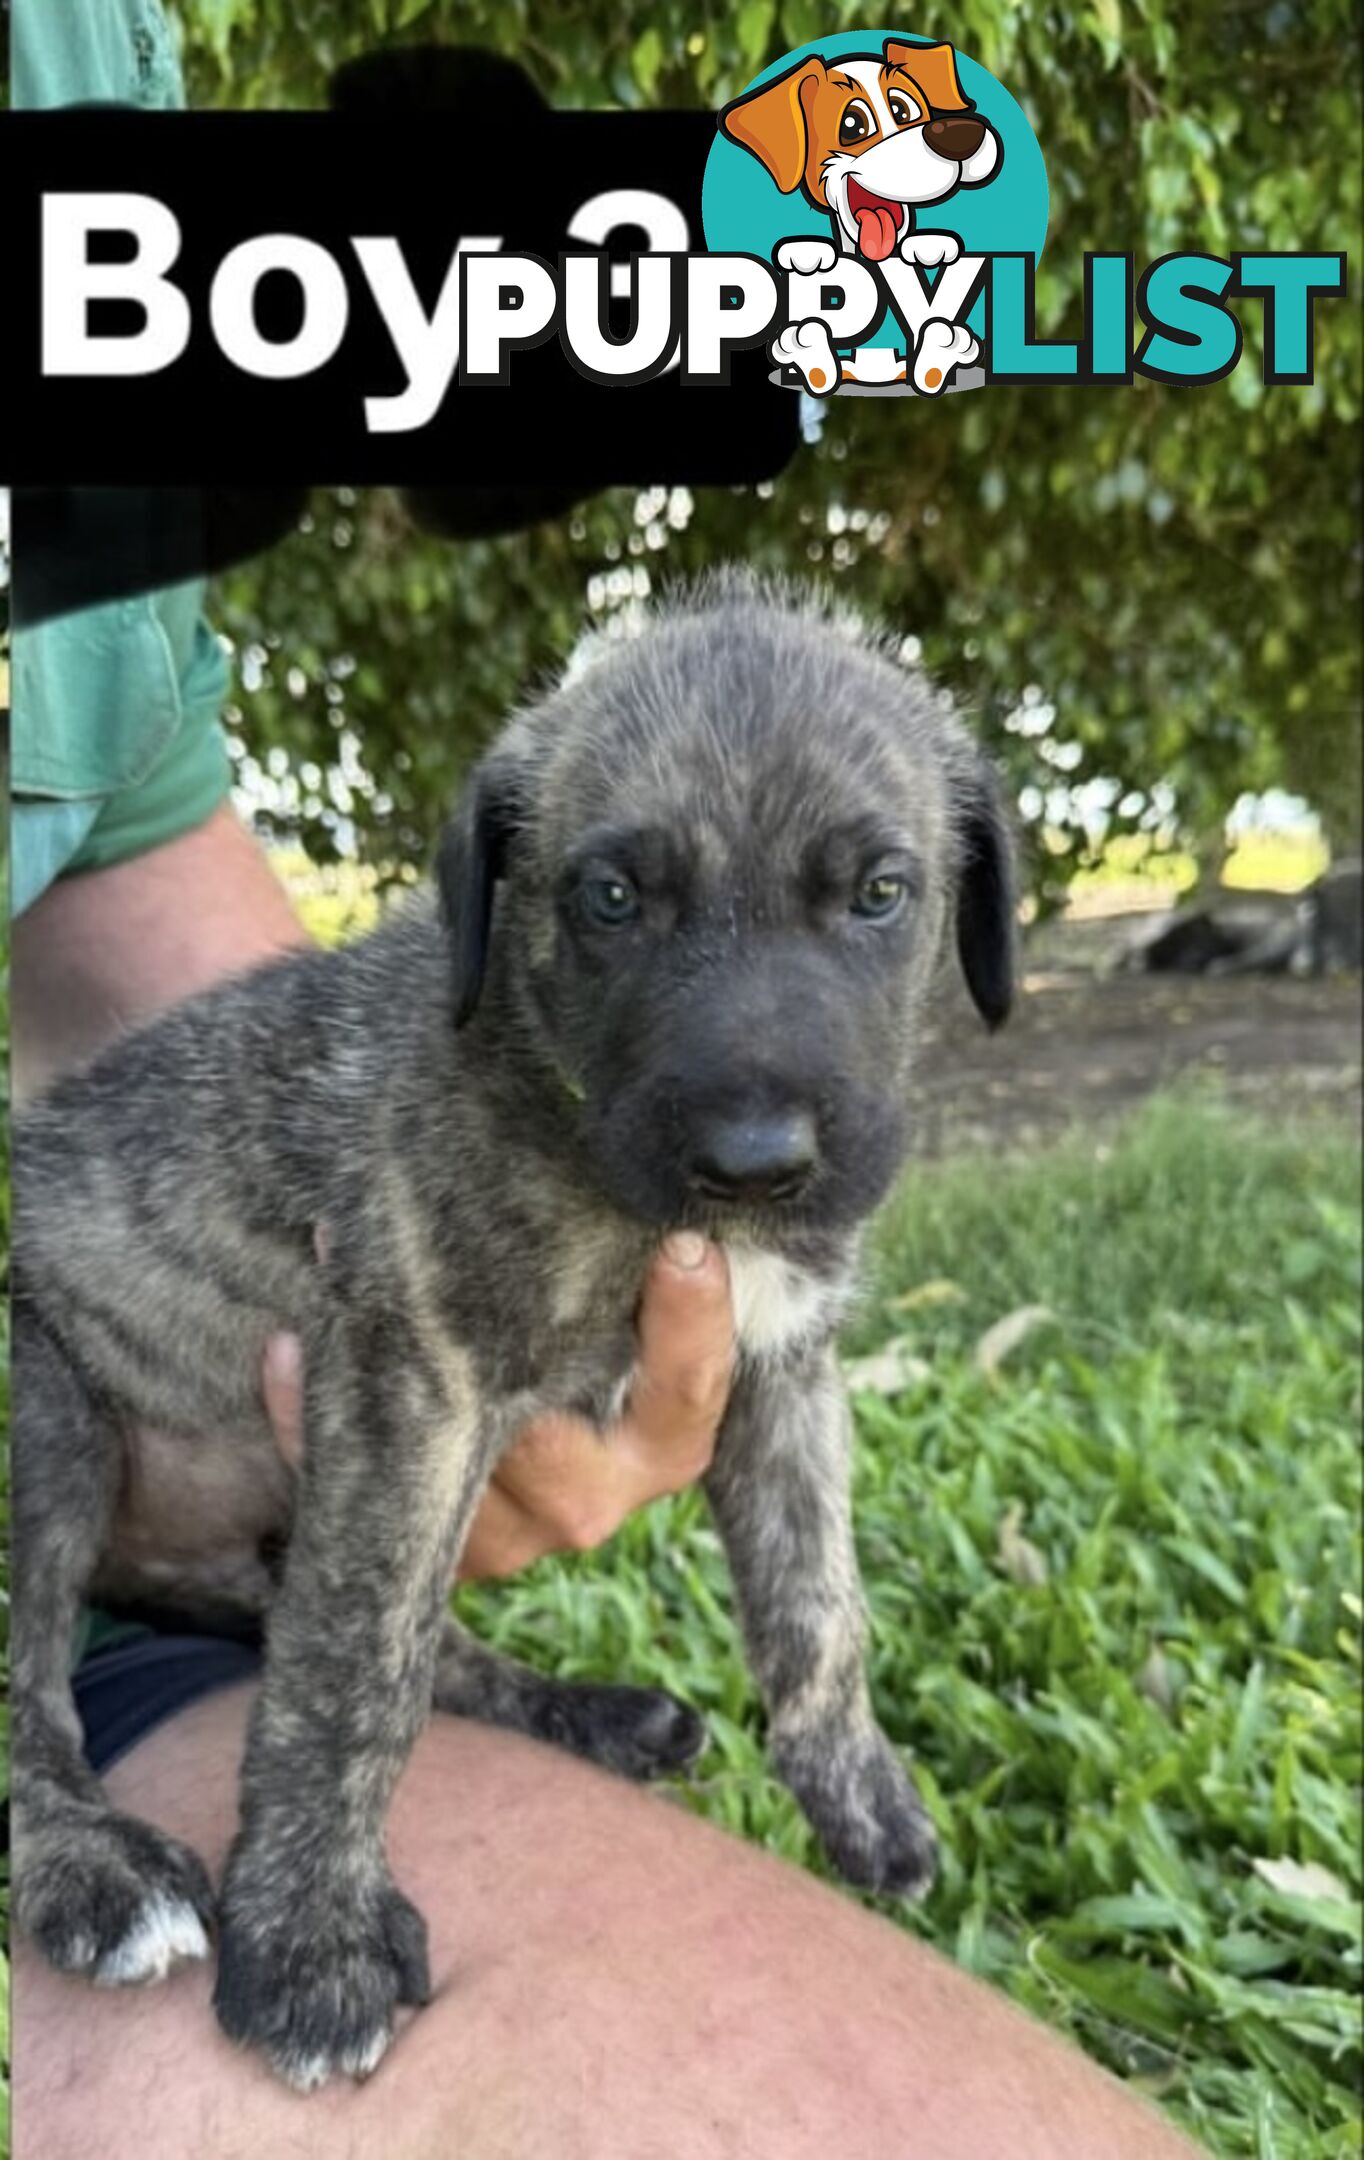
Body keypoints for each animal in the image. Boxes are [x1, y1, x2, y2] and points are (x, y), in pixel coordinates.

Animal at [10, 574, 1015, 2090]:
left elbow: (817, 1600)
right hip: (46, 1419)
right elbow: (353, 1669)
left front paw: (855, 1788)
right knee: (31, 1687)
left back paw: (586, 1710)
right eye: (611, 898)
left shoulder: (781, 1369)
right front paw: (309, 1942)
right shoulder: (411, 1384)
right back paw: (93, 1865)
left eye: (880, 893)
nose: (757, 1164)